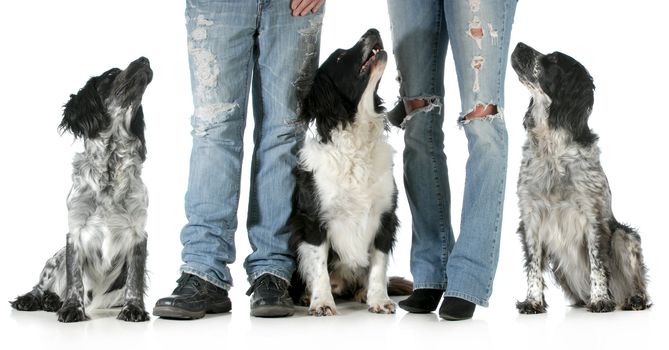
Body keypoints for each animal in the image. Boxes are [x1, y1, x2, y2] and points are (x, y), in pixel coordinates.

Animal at [10, 57, 152, 322]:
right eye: (111, 74)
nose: (145, 59)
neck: (110, 167)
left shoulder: (138, 233)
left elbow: (134, 278)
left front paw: (134, 309)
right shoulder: (74, 232)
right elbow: (74, 279)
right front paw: (72, 308)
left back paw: (52, 301)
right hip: (54, 259)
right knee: (41, 285)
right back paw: (37, 299)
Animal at [288, 28, 408, 316]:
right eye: (340, 57)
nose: (373, 30)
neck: (357, 141)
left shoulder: (385, 216)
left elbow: (378, 265)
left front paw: (378, 299)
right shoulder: (314, 219)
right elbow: (318, 264)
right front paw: (321, 301)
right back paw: (306, 296)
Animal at [508, 42, 648, 314]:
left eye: (552, 60)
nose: (519, 44)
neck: (551, 147)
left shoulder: (593, 215)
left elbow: (597, 262)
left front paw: (600, 299)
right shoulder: (530, 216)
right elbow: (533, 265)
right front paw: (532, 301)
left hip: (624, 236)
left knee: (638, 283)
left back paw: (632, 299)